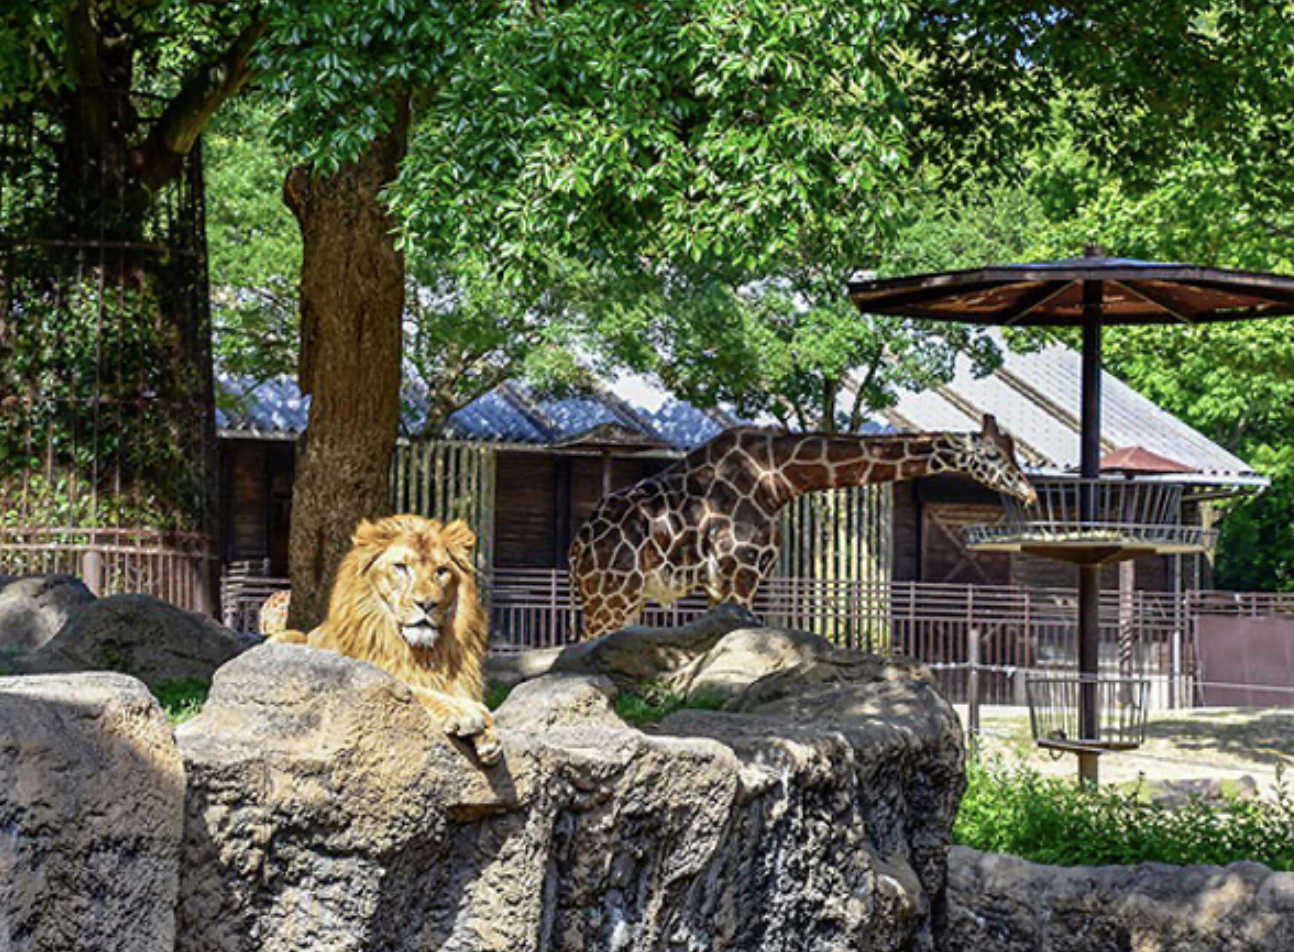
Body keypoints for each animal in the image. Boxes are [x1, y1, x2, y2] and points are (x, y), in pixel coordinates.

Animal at [269, 512, 499, 765]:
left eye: (441, 571)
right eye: (401, 567)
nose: (427, 604)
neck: (422, 653)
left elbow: (479, 705)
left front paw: (489, 733)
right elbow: (415, 689)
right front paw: (461, 712)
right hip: (288, 636)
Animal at [571, 416, 1035, 638]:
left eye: (1013, 452)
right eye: (993, 456)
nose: (1029, 491)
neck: (778, 478)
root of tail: (577, 547)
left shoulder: (723, 584)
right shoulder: (743, 573)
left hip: (621, 598)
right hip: (612, 596)